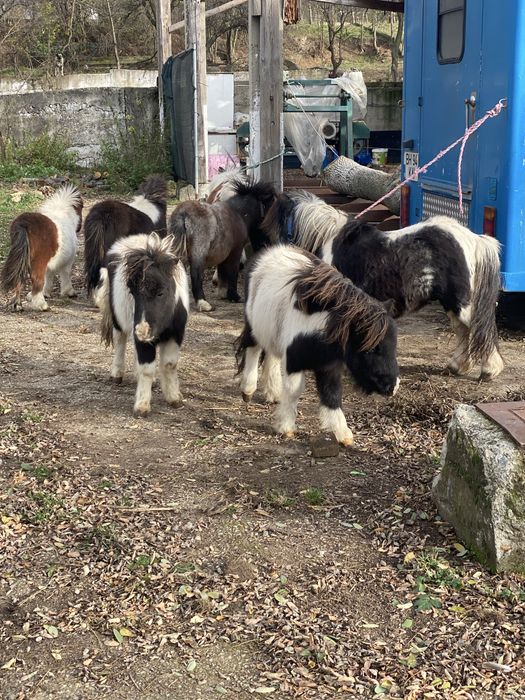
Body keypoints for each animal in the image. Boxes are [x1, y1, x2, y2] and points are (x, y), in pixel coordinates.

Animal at [98, 232, 189, 417]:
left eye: (161, 292)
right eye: (132, 292)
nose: (142, 331)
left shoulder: (176, 334)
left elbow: (169, 364)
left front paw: (174, 398)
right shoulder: (142, 338)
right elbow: (146, 368)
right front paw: (142, 406)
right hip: (118, 320)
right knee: (119, 341)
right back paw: (116, 374)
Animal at [169, 180, 276, 312]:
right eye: (268, 210)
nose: (266, 244)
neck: (238, 213)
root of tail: (184, 214)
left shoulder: (223, 251)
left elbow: (222, 270)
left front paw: (223, 293)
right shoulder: (235, 251)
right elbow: (233, 271)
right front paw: (234, 296)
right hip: (198, 254)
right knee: (195, 274)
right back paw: (203, 303)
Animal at [235, 245, 399, 445]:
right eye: (372, 349)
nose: (392, 387)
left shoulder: (330, 366)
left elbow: (332, 394)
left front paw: (344, 435)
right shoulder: (294, 361)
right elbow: (295, 390)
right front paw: (286, 428)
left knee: (272, 355)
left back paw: (274, 394)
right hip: (253, 326)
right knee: (253, 349)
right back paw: (248, 390)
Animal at [262, 192, 504, 380]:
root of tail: (474, 239)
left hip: (463, 304)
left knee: (480, 329)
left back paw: (489, 370)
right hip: (453, 304)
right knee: (464, 331)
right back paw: (458, 366)